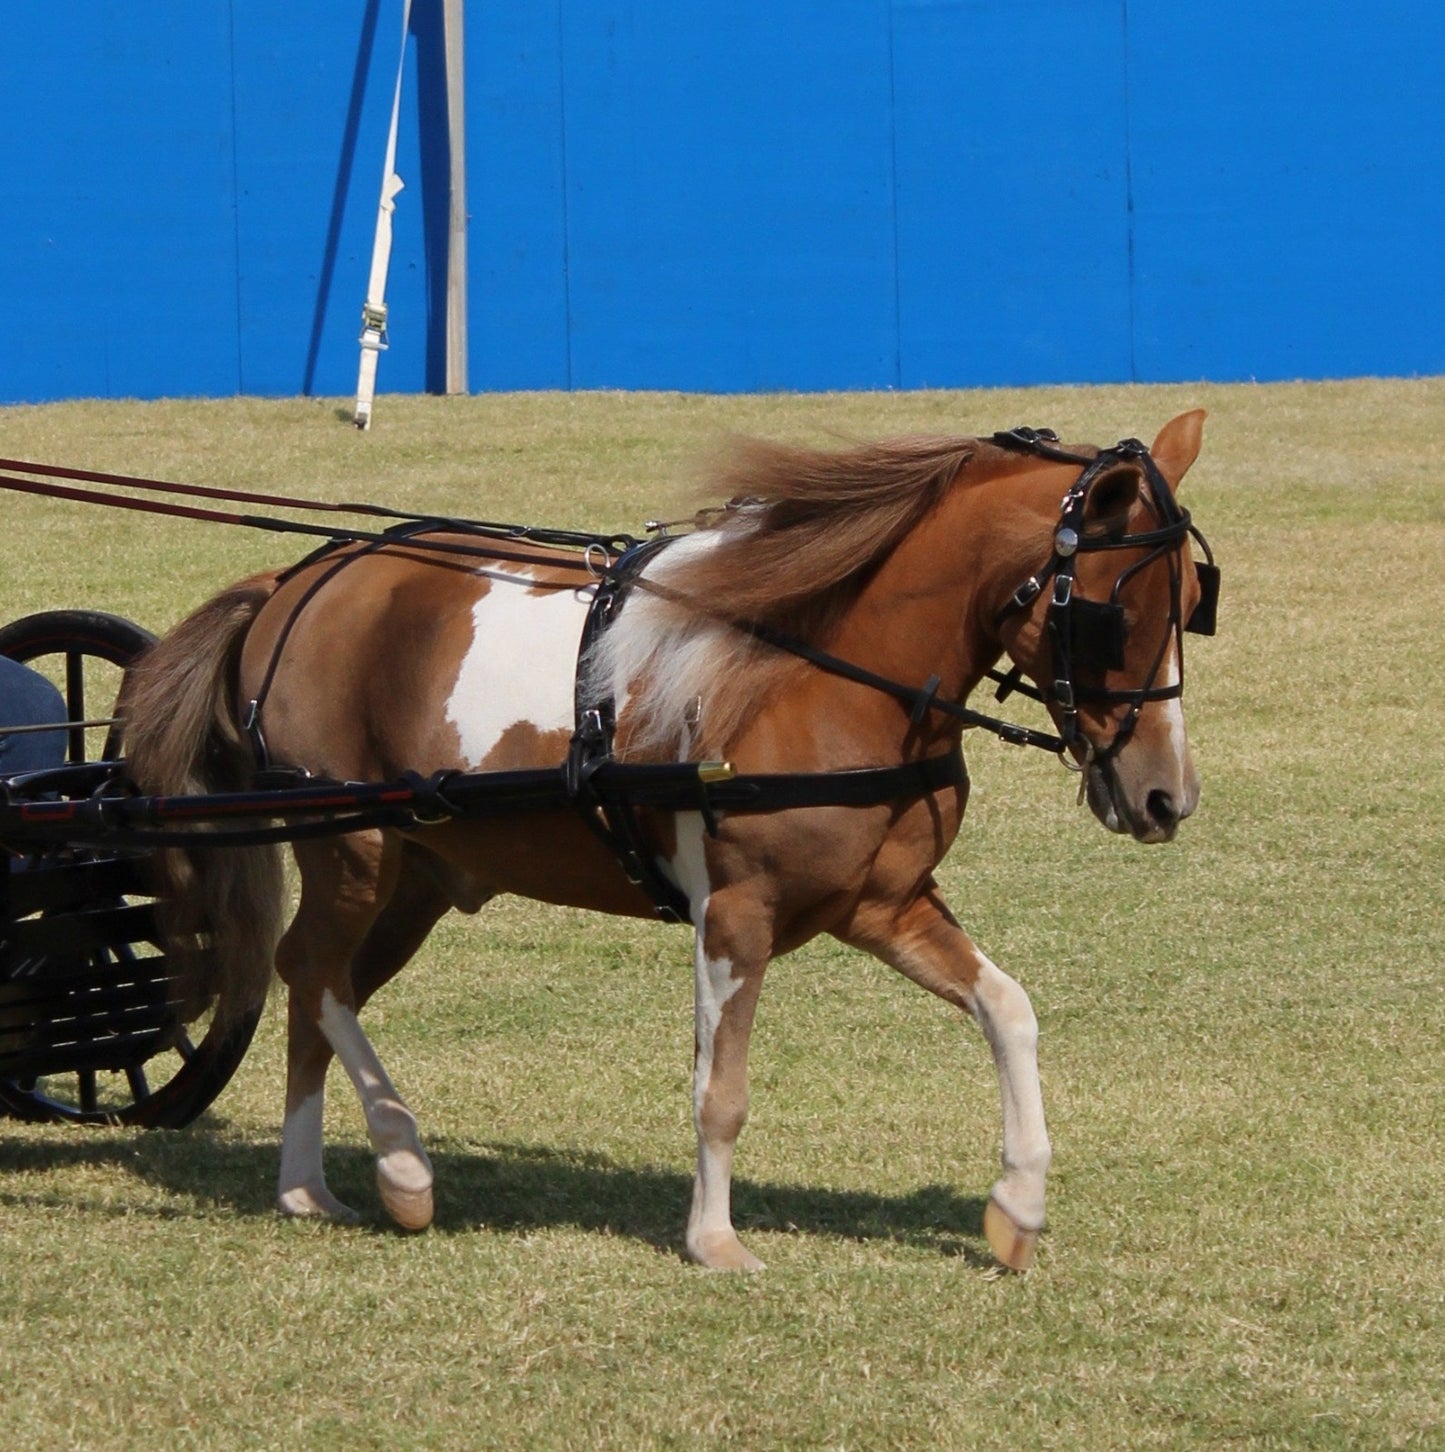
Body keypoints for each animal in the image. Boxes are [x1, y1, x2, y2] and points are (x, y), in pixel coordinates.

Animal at [121, 412, 1219, 1271]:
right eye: (1111, 614)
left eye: (1189, 607)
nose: (1164, 795)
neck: (816, 668)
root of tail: (297, 577)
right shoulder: (733, 914)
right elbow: (718, 1088)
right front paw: (713, 1239)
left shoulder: (884, 905)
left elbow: (1007, 1009)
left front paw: (1016, 1206)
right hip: (355, 853)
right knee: (309, 969)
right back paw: (397, 1158)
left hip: (418, 878)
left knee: (321, 990)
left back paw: (308, 1185)